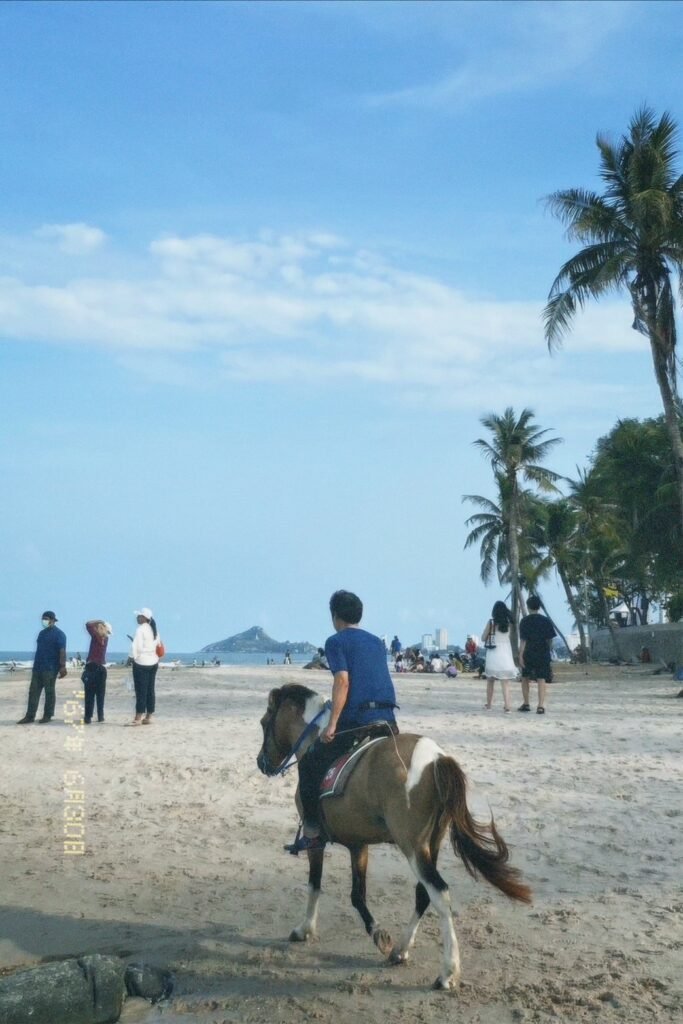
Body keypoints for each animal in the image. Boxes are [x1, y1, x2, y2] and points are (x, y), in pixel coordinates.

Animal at [255, 684, 532, 987]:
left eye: (263, 723)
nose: (261, 763)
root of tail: (436, 758)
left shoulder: (315, 840)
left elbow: (315, 884)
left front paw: (304, 929)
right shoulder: (358, 844)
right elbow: (357, 894)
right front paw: (378, 934)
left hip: (412, 846)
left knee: (439, 893)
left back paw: (447, 971)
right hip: (430, 843)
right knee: (423, 894)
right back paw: (400, 949)